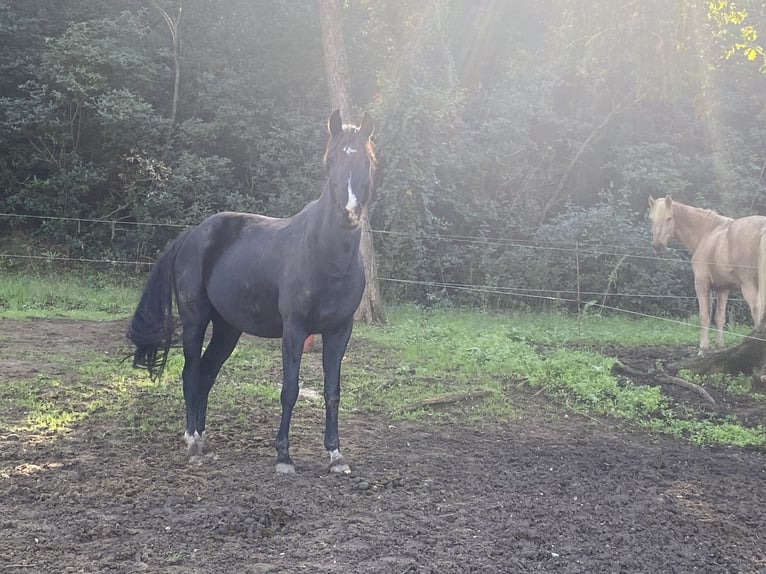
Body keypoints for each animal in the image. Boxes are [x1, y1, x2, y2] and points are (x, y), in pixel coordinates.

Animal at [127, 110, 376, 474]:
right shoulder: (294, 329)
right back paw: (192, 443)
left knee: (206, 373)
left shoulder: (339, 331)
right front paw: (284, 456)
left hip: (228, 329)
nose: (349, 213)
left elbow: (333, 392)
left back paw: (203, 439)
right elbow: (290, 389)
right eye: (330, 161)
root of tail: (191, 235)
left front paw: (336, 456)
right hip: (195, 321)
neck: (326, 257)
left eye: (367, 163)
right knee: (191, 372)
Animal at [652, 196, 766, 354]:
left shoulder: (701, 284)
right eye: (651, 219)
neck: (707, 233)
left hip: (749, 287)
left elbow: (704, 316)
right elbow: (719, 318)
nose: (658, 246)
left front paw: (703, 349)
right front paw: (719, 347)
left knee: (757, 313)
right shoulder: (722, 288)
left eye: (669, 218)